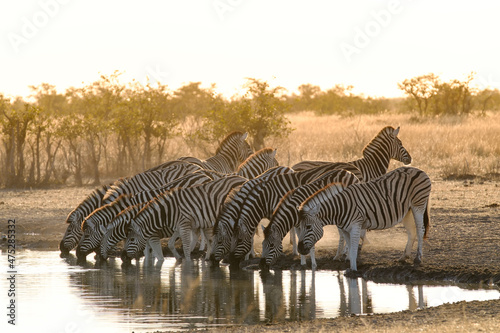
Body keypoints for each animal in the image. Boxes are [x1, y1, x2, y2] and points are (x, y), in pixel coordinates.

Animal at [296, 167, 430, 272]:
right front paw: (350, 267)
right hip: (407, 211)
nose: (299, 249)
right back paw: (404, 257)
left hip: (418, 204)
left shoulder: (356, 225)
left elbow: (354, 247)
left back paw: (418, 258)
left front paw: (354, 270)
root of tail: (419, 170)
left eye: (308, 227)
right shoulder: (345, 229)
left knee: (420, 230)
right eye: (300, 227)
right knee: (411, 232)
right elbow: (350, 247)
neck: (340, 208)